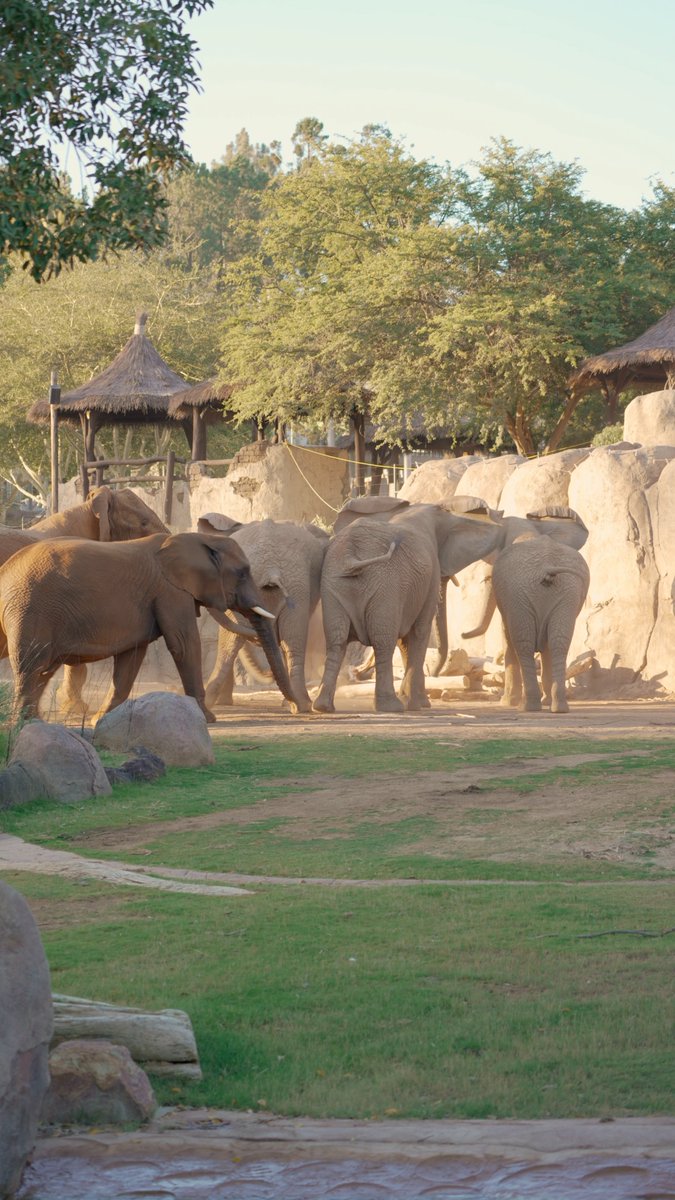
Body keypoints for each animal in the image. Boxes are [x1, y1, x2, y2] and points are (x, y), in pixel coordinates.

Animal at [0, 531, 296, 723]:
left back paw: (33, 721)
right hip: (30, 609)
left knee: (43, 669)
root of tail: (7, 570)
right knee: (31, 666)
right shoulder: (171, 591)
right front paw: (207, 718)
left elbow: (132, 657)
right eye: (243, 573)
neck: (196, 538)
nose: (295, 708)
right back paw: (23, 723)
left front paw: (102, 719)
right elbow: (184, 644)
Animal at [197, 514, 329, 713]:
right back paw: (300, 705)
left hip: (292, 586)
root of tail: (270, 569)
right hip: (295, 586)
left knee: (233, 641)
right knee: (290, 642)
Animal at [313, 502, 504, 713]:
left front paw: (415, 700)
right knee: (383, 642)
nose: (436, 673)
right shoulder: (429, 576)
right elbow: (419, 632)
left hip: (334, 583)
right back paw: (391, 706)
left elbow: (405, 642)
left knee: (336, 641)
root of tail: (350, 555)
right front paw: (414, 704)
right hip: (384, 585)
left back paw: (323, 706)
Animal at [490, 533, 590, 713]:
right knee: (558, 642)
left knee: (523, 644)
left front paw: (507, 702)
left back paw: (527, 706)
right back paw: (558, 708)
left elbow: (508, 636)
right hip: (567, 593)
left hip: (522, 593)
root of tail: (547, 567)